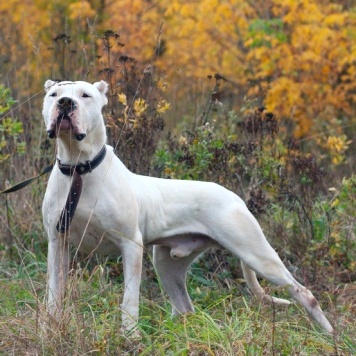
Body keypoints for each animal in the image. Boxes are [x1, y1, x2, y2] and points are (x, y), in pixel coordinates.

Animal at [41, 80, 334, 334]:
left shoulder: (130, 245)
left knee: (304, 293)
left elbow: (129, 300)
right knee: (184, 308)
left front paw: (130, 337)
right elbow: (54, 294)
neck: (79, 169)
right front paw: (51, 327)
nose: (66, 103)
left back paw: (329, 335)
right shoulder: (57, 243)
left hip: (257, 254)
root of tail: (234, 196)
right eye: (54, 95)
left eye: (85, 95)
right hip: (166, 264)